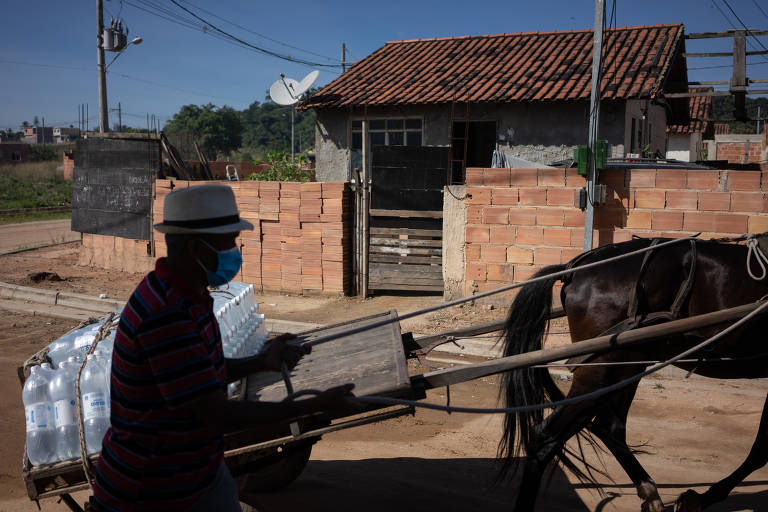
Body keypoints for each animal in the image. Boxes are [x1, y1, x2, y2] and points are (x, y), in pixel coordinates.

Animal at [498, 238, 768, 510]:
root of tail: (576, 268)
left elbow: (760, 449)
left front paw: (698, 498)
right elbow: (759, 451)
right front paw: (701, 498)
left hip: (626, 365)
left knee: (610, 427)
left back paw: (650, 493)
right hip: (602, 370)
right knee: (546, 437)